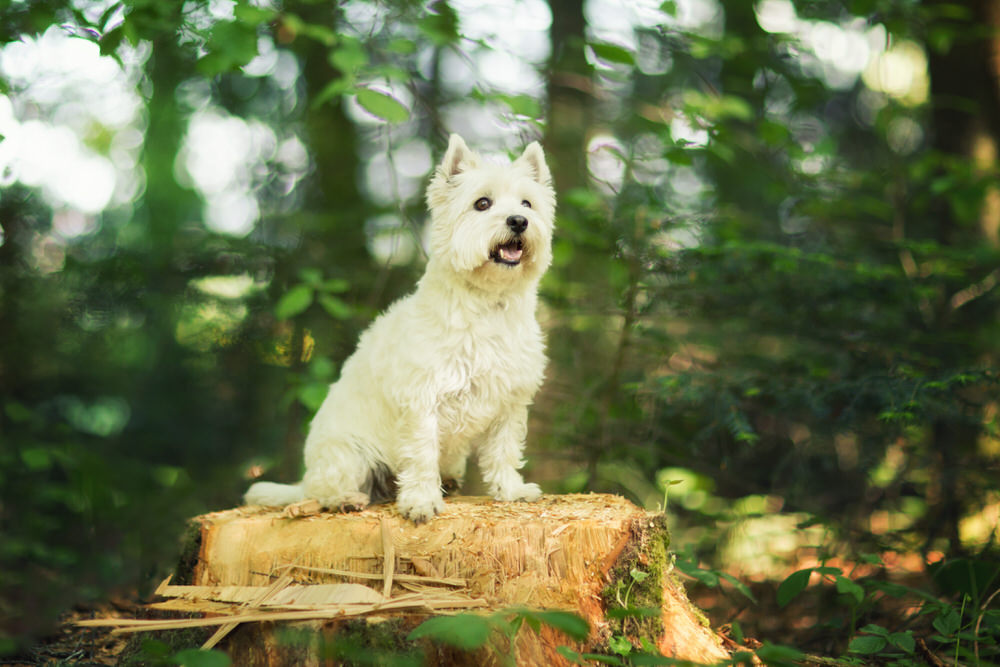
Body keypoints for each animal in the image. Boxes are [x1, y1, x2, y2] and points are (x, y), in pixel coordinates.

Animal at [243, 134, 556, 520]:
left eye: (527, 203)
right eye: (482, 203)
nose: (518, 221)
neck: (487, 305)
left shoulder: (509, 404)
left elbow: (503, 451)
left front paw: (511, 490)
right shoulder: (422, 400)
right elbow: (421, 455)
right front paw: (421, 501)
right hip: (347, 453)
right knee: (323, 490)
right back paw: (347, 498)